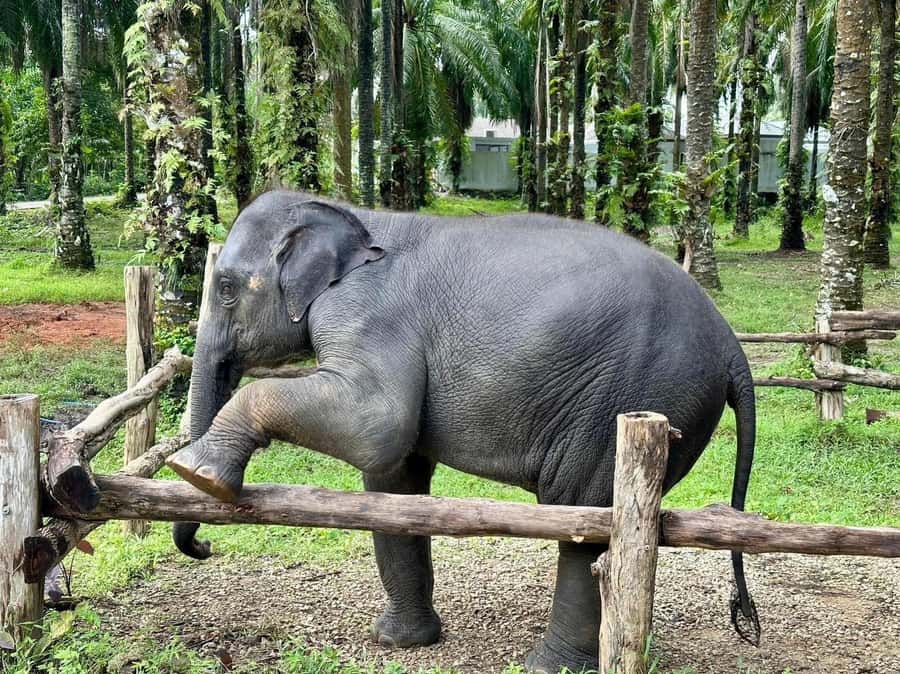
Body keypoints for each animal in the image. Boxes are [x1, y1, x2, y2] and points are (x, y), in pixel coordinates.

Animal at [166, 190, 758, 673]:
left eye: (224, 289)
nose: (204, 547)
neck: (351, 214)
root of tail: (732, 345)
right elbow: (393, 476)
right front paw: (399, 642)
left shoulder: (366, 315)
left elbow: (377, 423)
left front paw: (196, 473)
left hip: (628, 398)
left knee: (583, 523)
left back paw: (549, 666)